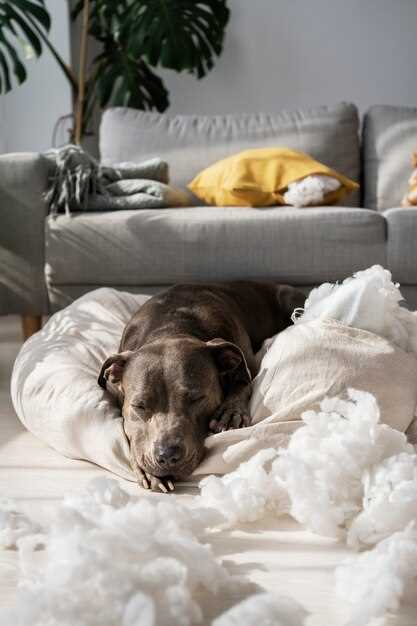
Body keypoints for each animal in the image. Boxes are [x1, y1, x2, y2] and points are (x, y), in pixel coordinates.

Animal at [98, 280, 304, 490]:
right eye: (139, 406)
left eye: (197, 399)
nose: (167, 455)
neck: (171, 328)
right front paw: (146, 470)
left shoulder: (245, 364)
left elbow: (243, 383)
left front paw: (230, 414)